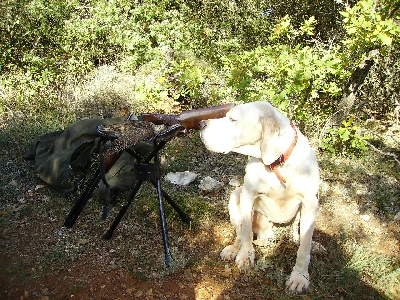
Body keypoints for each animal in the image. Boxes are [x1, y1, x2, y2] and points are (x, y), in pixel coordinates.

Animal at [200, 102, 318, 292]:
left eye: (233, 119)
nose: (201, 124)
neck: (277, 164)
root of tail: (266, 234)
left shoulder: (310, 202)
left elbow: (304, 245)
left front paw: (300, 276)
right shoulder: (248, 194)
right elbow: (246, 231)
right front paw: (245, 256)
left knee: (297, 231)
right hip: (236, 195)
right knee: (240, 233)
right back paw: (234, 249)